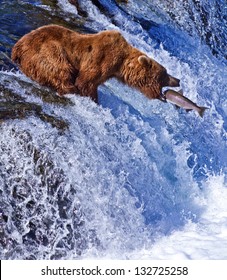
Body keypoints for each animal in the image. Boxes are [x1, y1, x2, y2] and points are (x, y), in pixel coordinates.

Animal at [11, 25, 180, 103]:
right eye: (165, 74)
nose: (177, 80)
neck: (120, 65)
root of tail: (16, 48)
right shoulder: (102, 58)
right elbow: (86, 81)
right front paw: (92, 98)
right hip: (46, 50)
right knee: (59, 68)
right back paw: (69, 88)